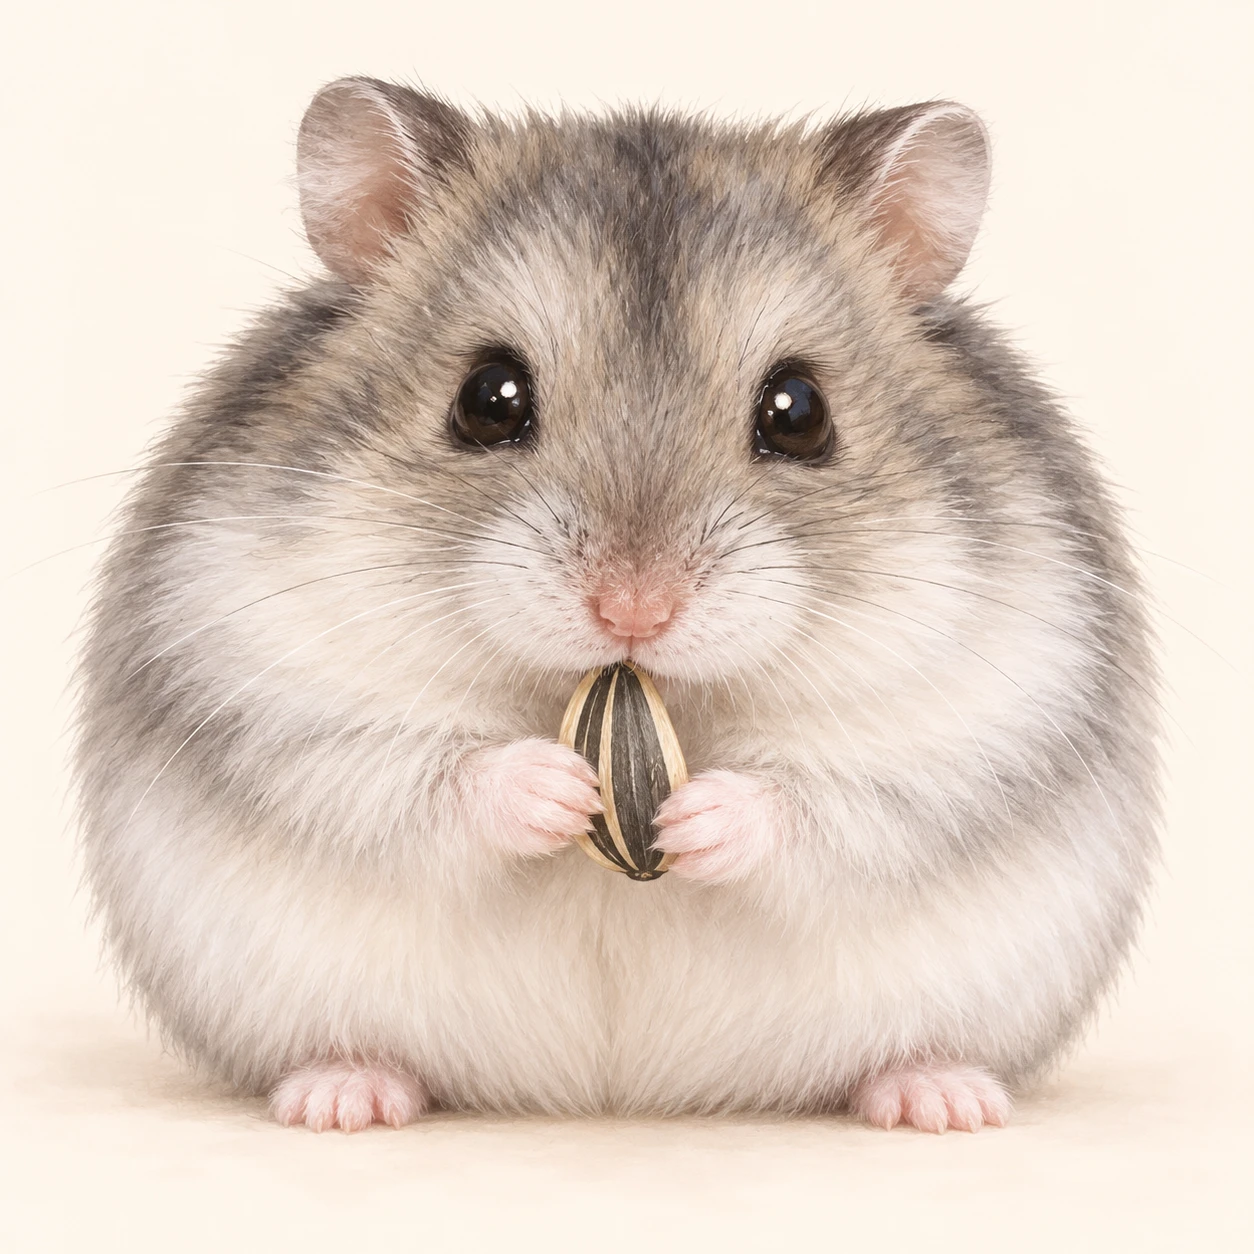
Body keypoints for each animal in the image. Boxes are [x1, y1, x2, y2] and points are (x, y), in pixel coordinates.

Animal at [73, 78, 1160, 1133]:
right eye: (488, 398)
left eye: (800, 412)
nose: (635, 611)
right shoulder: (271, 697)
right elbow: (417, 768)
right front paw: (558, 788)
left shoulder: (974, 731)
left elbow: (828, 798)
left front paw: (692, 818)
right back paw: (341, 1098)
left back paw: (943, 1102)